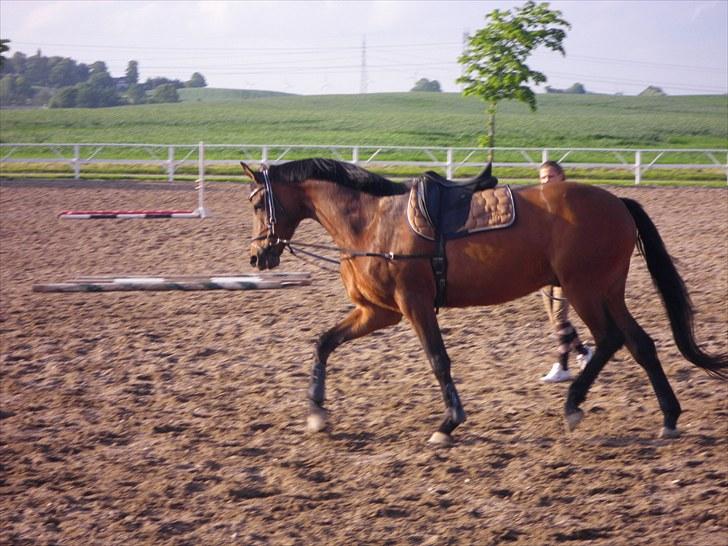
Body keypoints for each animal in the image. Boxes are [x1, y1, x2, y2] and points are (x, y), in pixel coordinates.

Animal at [243, 156, 724, 442]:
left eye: (257, 203)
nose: (257, 255)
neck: (372, 222)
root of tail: (619, 203)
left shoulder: (413, 304)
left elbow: (438, 360)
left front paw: (448, 423)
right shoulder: (378, 311)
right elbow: (324, 342)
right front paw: (316, 411)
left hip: (584, 288)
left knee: (609, 340)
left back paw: (573, 405)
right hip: (606, 288)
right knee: (640, 343)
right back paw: (668, 417)